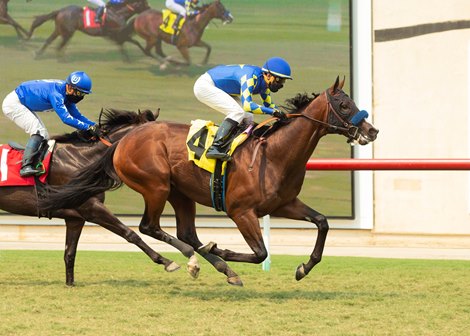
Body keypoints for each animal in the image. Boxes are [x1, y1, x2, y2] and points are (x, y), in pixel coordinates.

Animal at [0, 108, 199, 286]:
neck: (80, 158)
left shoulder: (75, 218)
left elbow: (69, 253)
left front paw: (70, 284)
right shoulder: (92, 208)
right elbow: (130, 234)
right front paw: (167, 261)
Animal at [39, 78, 378, 286]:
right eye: (344, 106)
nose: (372, 131)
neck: (275, 153)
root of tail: (123, 140)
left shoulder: (284, 204)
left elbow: (322, 223)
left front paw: (303, 268)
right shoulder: (241, 212)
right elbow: (261, 253)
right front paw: (223, 250)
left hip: (180, 193)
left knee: (186, 233)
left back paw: (220, 267)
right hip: (156, 185)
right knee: (150, 227)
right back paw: (191, 261)